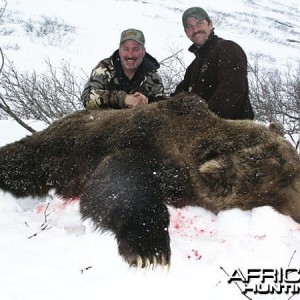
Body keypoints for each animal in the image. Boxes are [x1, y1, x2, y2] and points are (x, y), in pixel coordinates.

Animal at [0, 93, 300, 268]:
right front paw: (151, 250)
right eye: (283, 181)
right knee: (21, 161)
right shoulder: (142, 143)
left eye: (295, 167)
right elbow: (120, 185)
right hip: (55, 151)